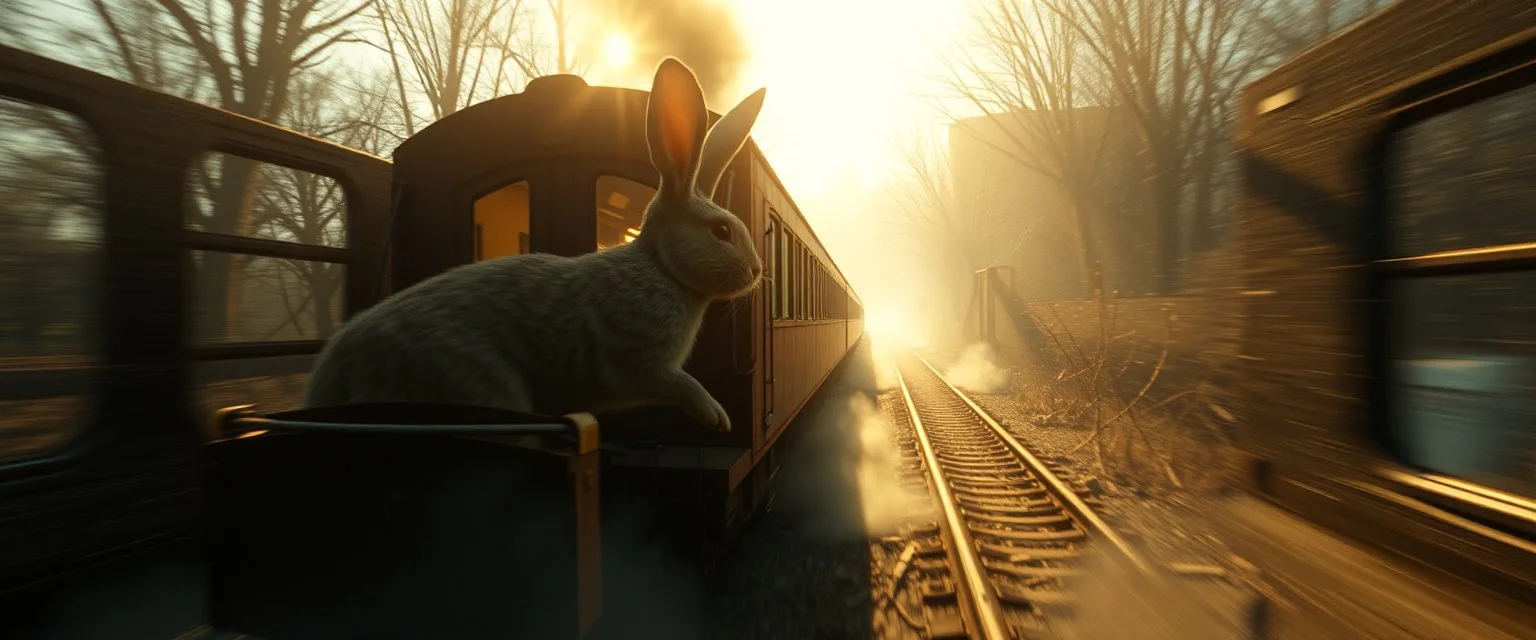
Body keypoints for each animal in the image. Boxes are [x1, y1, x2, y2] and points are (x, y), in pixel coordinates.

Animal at [300, 57, 766, 432]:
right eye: (721, 231)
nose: (757, 272)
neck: (661, 268)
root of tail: (330, 384)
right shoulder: (640, 362)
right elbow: (680, 383)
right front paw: (717, 417)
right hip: (479, 380)